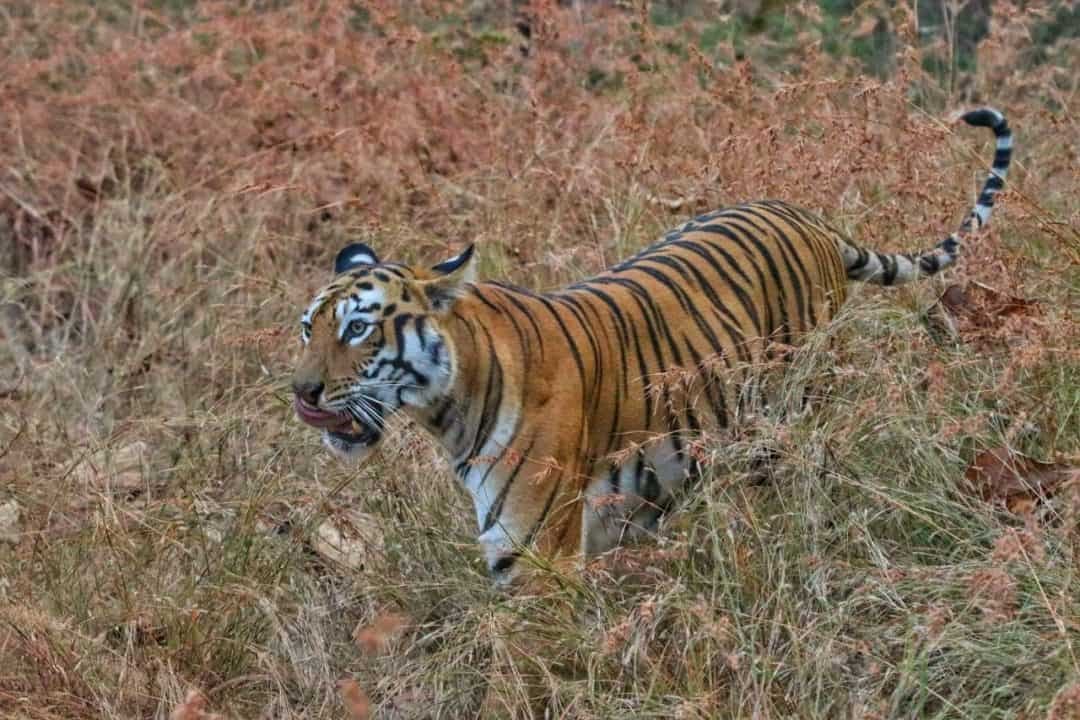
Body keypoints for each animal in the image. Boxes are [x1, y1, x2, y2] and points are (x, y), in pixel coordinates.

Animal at [292, 108, 1012, 584]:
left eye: (357, 329)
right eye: (308, 328)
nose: (302, 393)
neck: (449, 407)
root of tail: (809, 218)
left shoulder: (534, 549)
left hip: (798, 412)